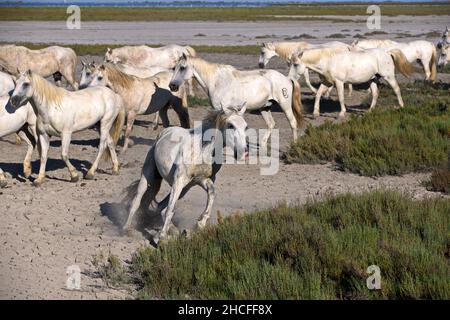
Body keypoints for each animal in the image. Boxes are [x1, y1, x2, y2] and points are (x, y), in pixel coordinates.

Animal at [123, 106, 248, 244]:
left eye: (245, 126)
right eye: (231, 125)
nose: (244, 152)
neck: (203, 150)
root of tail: (164, 132)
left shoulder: (202, 179)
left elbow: (212, 193)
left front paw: (200, 224)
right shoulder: (178, 180)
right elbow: (170, 209)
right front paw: (162, 238)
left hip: (184, 188)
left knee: (161, 207)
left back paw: (175, 231)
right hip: (149, 176)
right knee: (138, 201)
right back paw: (127, 229)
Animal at [169, 54, 302, 149]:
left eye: (182, 68)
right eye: (174, 68)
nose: (172, 86)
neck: (217, 82)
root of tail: (287, 78)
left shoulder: (221, 109)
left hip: (285, 106)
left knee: (293, 123)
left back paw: (294, 145)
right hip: (264, 107)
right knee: (271, 124)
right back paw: (263, 145)